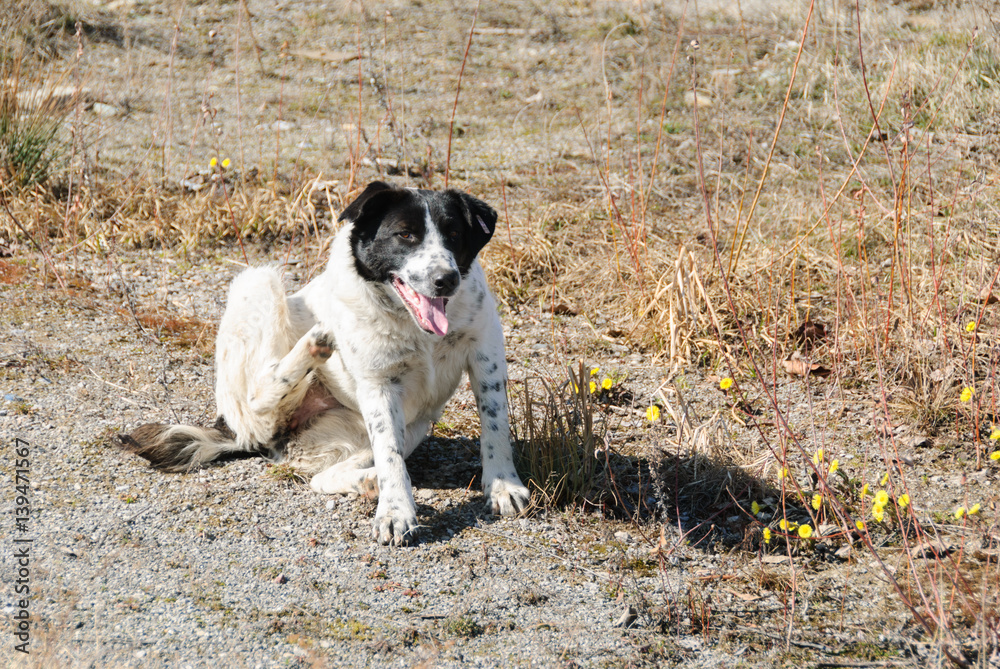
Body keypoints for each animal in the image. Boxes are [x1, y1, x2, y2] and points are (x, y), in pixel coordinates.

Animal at [119, 181, 532, 544]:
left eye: (455, 234)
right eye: (405, 235)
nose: (446, 279)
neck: (413, 325)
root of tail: (241, 437)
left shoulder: (486, 354)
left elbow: (494, 427)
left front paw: (503, 486)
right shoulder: (379, 385)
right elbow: (391, 460)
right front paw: (396, 512)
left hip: (406, 426)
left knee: (324, 476)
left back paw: (366, 481)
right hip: (258, 283)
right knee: (260, 395)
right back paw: (316, 343)